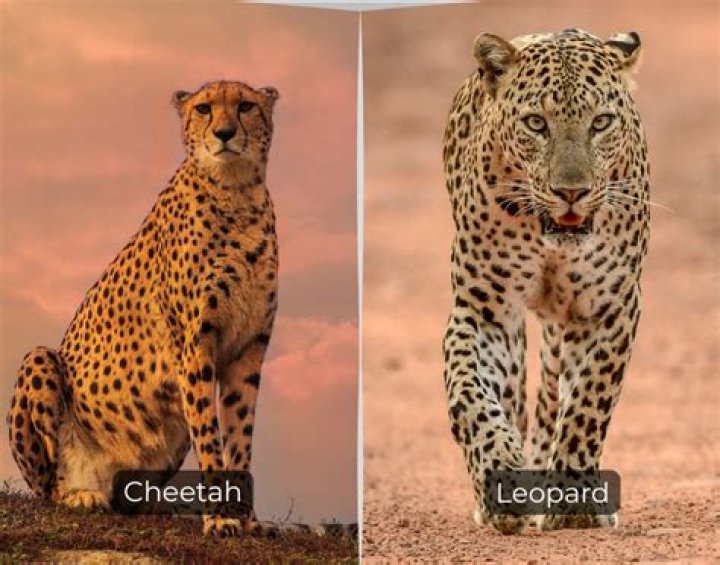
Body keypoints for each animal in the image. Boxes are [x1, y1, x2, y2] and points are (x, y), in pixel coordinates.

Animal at [7, 80, 283, 537]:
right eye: (204, 108)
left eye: (245, 106)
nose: (224, 133)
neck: (236, 191)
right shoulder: (195, 348)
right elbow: (211, 437)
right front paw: (220, 516)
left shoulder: (248, 348)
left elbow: (239, 436)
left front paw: (247, 519)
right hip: (40, 361)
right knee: (47, 486)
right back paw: (80, 494)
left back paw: (152, 503)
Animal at [442, 29, 649, 534]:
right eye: (537, 124)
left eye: (601, 122)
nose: (571, 192)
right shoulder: (485, 312)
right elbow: (471, 398)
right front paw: (500, 475)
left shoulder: (609, 309)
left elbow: (588, 403)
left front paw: (574, 500)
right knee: (515, 394)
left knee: (554, 395)